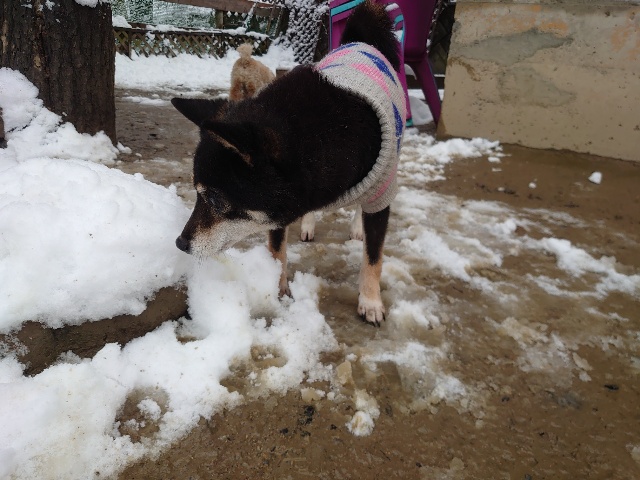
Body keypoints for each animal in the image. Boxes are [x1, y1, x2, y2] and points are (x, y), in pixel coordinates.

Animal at [172, 0, 406, 326]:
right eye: (196, 194)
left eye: (216, 199)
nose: (181, 243)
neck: (330, 133)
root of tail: (360, 41)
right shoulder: (280, 208)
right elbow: (276, 250)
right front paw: (278, 287)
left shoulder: (381, 191)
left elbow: (373, 256)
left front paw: (371, 302)